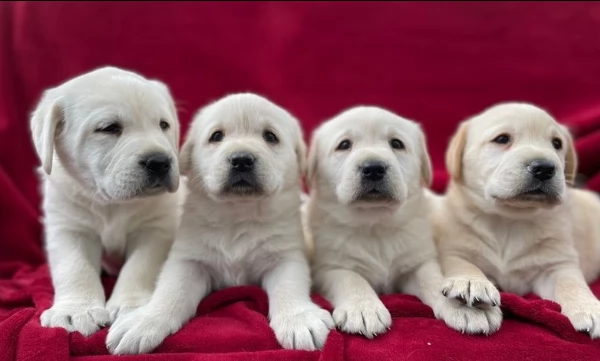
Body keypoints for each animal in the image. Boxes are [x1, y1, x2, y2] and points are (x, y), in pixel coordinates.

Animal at [29, 65, 183, 334]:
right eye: (109, 128)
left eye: (164, 125)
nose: (160, 161)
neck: (111, 203)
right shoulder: (68, 227)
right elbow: (74, 266)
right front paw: (76, 309)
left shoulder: (155, 228)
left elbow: (138, 266)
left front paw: (130, 305)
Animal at [106, 91, 336, 352]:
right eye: (217, 136)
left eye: (270, 136)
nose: (242, 160)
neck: (238, 214)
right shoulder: (188, 260)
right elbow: (170, 291)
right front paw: (144, 321)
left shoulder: (287, 256)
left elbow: (290, 287)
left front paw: (299, 319)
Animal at [304, 106, 478, 338]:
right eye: (344, 145)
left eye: (396, 143)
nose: (373, 168)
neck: (375, 224)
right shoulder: (327, 267)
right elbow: (351, 278)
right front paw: (363, 308)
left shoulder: (418, 260)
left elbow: (432, 278)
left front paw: (461, 307)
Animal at [434, 102, 600, 336]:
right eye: (502, 139)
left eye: (556, 143)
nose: (545, 168)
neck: (510, 219)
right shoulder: (455, 249)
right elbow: (463, 264)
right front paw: (470, 282)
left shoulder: (557, 263)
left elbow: (571, 283)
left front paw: (589, 306)